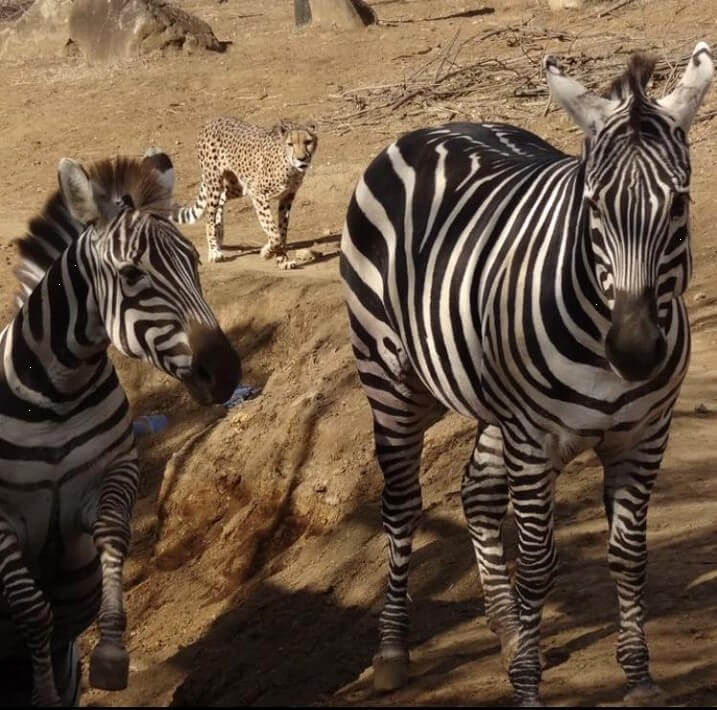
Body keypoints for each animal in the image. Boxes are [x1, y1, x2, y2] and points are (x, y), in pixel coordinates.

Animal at [0, 149, 241, 708]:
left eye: (194, 263)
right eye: (132, 275)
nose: (226, 374)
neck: (56, 395)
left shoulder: (117, 471)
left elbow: (113, 537)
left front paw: (110, 656)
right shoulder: (0, 521)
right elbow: (32, 608)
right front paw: (44, 693)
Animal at [172, 118, 318, 268]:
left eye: (308, 142)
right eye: (290, 144)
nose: (301, 158)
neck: (291, 167)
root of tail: (212, 120)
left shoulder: (287, 197)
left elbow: (282, 231)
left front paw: (283, 260)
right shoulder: (258, 194)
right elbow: (273, 232)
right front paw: (266, 253)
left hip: (237, 186)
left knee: (222, 198)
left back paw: (219, 233)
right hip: (215, 182)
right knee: (209, 217)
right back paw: (214, 250)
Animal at [340, 43, 712, 708]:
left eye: (679, 204)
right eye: (592, 205)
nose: (635, 351)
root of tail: (434, 127)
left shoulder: (645, 435)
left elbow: (630, 555)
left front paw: (640, 678)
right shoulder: (535, 440)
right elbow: (539, 566)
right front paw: (529, 687)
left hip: (495, 404)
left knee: (476, 491)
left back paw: (510, 631)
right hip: (390, 379)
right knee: (402, 503)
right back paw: (392, 650)